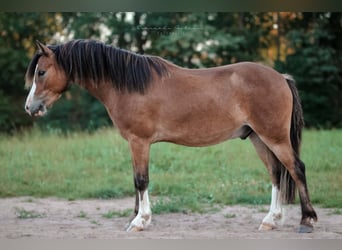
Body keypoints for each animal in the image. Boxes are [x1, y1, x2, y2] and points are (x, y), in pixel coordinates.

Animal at [24, 39, 318, 232]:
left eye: (41, 72)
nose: (30, 108)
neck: (128, 83)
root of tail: (281, 77)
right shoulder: (135, 144)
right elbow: (135, 180)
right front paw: (135, 216)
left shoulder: (139, 142)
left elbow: (141, 180)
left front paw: (140, 221)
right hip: (258, 138)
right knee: (276, 173)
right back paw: (271, 220)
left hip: (275, 138)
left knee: (297, 169)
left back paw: (306, 220)